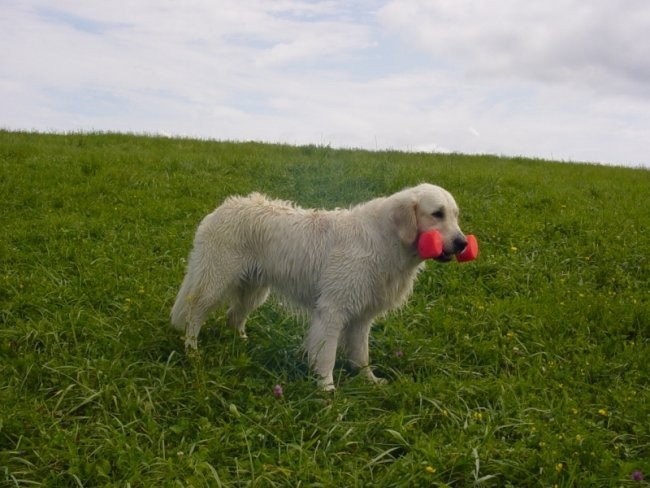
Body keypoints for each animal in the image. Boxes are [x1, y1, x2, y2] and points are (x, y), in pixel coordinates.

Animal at [172, 185, 466, 390]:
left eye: (455, 216)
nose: (463, 243)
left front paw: (369, 381)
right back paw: (192, 351)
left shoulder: (361, 318)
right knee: (194, 316)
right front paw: (326, 390)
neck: (386, 239)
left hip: (254, 291)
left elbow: (362, 355)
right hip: (215, 281)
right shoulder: (332, 311)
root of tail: (222, 208)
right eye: (437, 214)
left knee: (233, 317)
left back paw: (242, 344)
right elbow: (327, 356)